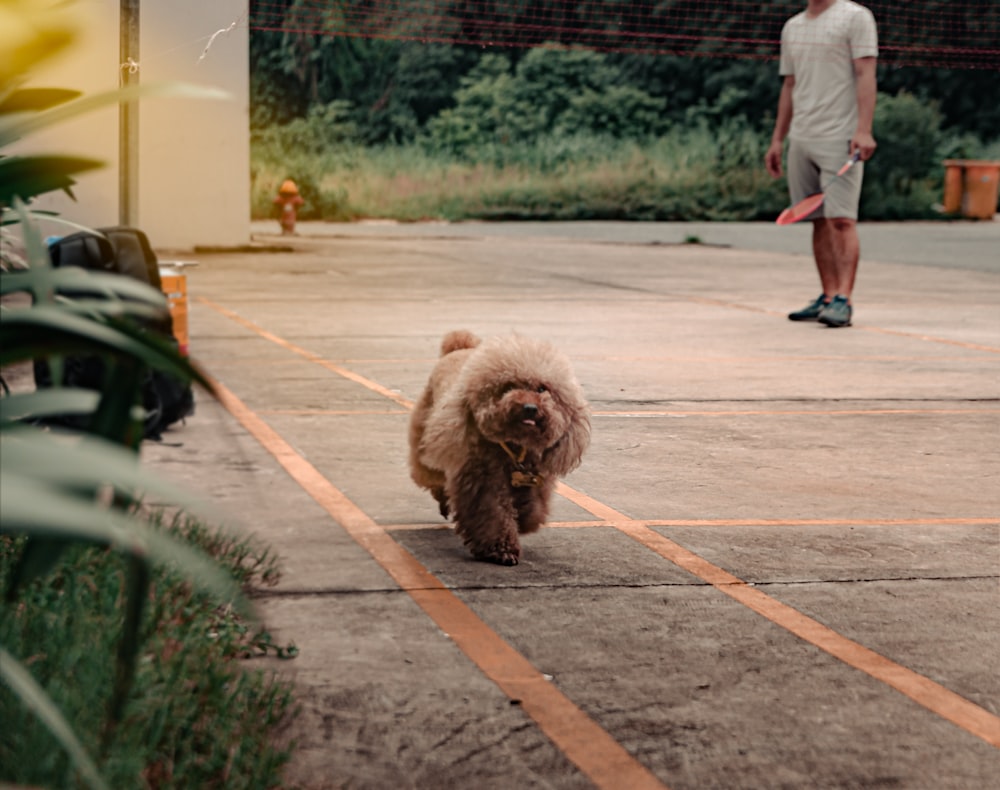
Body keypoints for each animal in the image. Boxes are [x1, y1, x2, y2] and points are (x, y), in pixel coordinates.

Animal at [408, 332, 588, 568]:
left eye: (542, 388)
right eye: (509, 386)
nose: (530, 408)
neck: (514, 446)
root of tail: (458, 348)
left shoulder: (536, 477)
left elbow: (532, 508)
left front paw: (523, 520)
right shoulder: (483, 480)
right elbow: (493, 513)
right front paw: (501, 550)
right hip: (428, 437)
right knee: (432, 474)